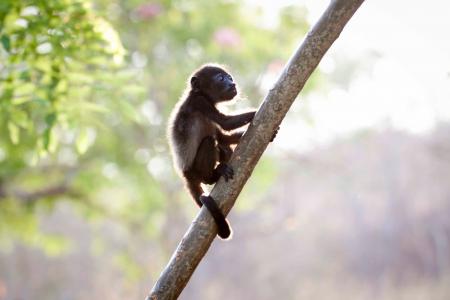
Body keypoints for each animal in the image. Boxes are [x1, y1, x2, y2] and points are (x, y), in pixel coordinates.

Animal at [167, 63, 255, 239]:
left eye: (230, 77)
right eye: (220, 78)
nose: (232, 83)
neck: (200, 94)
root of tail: (185, 174)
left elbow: (223, 137)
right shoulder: (200, 102)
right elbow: (226, 123)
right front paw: (255, 113)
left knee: (222, 145)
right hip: (195, 170)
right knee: (209, 142)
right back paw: (214, 175)